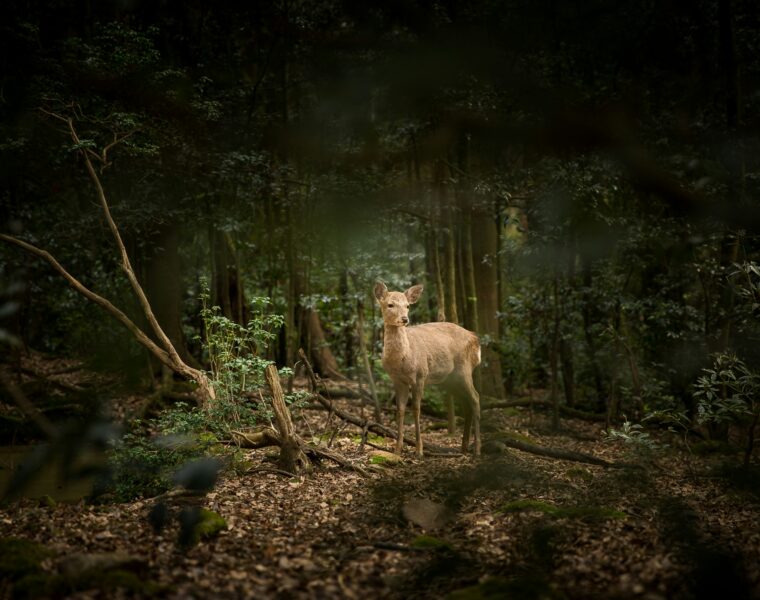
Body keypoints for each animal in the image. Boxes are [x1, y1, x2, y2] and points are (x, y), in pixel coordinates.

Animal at [374, 281, 481, 458]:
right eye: (390, 304)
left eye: (408, 305)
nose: (404, 319)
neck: (403, 358)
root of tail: (476, 340)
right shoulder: (397, 380)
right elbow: (400, 409)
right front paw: (397, 449)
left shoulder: (420, 375)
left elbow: (416, 408)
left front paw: (419, 450)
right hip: (450, 379)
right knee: (466, 404)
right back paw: (464, 447)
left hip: (465, 369)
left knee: (476, 398)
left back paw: (477, 449)